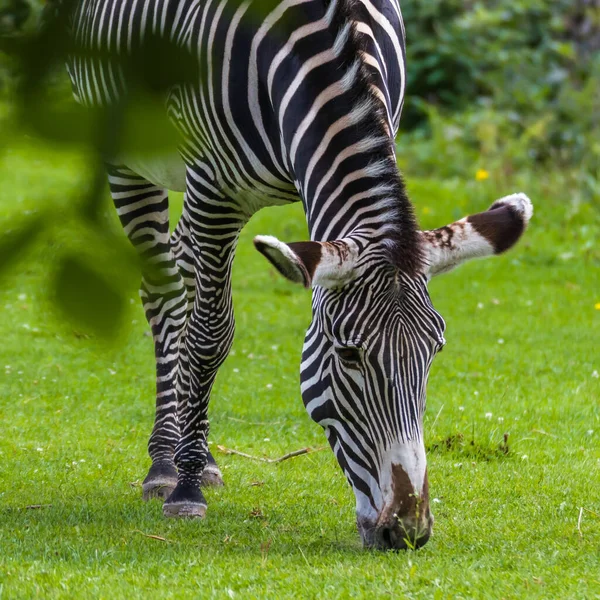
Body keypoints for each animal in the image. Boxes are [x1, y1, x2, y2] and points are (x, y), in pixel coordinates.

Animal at [58, 0, 532, 548]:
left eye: (435, 350)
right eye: (348, 355)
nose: (408, 531)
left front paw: (196, 465)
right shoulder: (215, 190)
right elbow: (210, 335)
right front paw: (186, 489)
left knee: (181, 266)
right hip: (128, 147)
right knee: (165, 291)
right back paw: (165, 462)